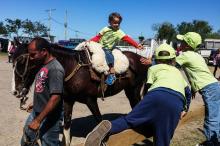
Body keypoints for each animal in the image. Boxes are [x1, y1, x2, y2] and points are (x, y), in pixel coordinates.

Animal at [11, 39, 150, 145]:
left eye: (22, 61)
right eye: (12, 60)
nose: (15, 90)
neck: (71, 67)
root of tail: (143, 59)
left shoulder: (90, 100)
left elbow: (99, 119)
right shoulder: (68, 100)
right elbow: (67, 126)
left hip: (134, 91)